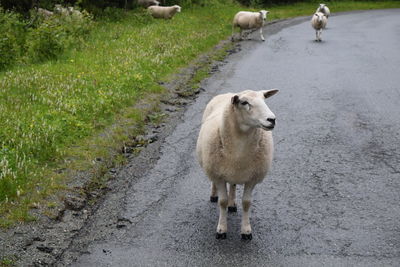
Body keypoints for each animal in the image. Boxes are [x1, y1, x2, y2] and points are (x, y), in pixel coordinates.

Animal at [196, 89, 278, 240]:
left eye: (264, 99)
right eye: (244, 102)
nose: (272, 119)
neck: (238, 155)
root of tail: (228, 93)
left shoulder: (252, 179)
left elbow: (246, 203)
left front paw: (246, 230)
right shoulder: (218, 176)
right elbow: (222, 202)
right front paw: (221, 229)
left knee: (233, 185)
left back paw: (232, 204)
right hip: (211, 166)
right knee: (214, 183)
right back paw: (214, 195)